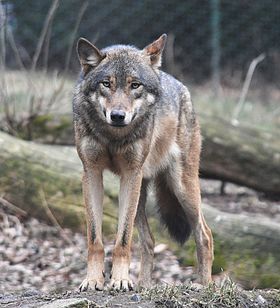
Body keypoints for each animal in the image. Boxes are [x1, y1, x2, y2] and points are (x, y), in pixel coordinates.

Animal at [73, 33, 213, 292]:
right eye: (106, 83)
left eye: (135, 85)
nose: (118, 116)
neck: (114, 137)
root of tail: (180, 85)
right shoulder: (91, 173)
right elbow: (95, 239)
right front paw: (94, 280)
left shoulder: (130, 174)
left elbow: (123, 239)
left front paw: (119, 280)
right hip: (139, 193)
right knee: (149, 241)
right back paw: (144, 286)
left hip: (180, 187)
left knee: (204, 234)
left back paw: (204, 285)